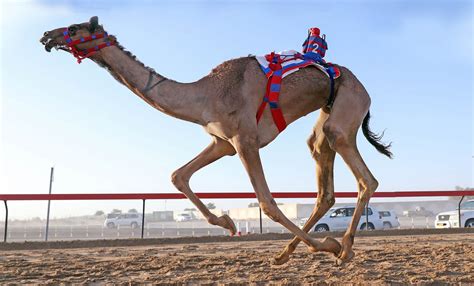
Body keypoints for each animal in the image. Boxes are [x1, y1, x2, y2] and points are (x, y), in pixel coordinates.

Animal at [39, 16, 392, 266]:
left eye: (73, 27)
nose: (46, 36)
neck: (206, 94)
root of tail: (365, 89)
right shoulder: (223, 143)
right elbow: (178, 175)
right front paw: (226, 221)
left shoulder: (245, 140)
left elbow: (267, 202)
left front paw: (327, 245)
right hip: (327, 116)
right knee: (323, 176)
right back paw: (287, 253)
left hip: (348, 106)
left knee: (364, 176)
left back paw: (342, 249)